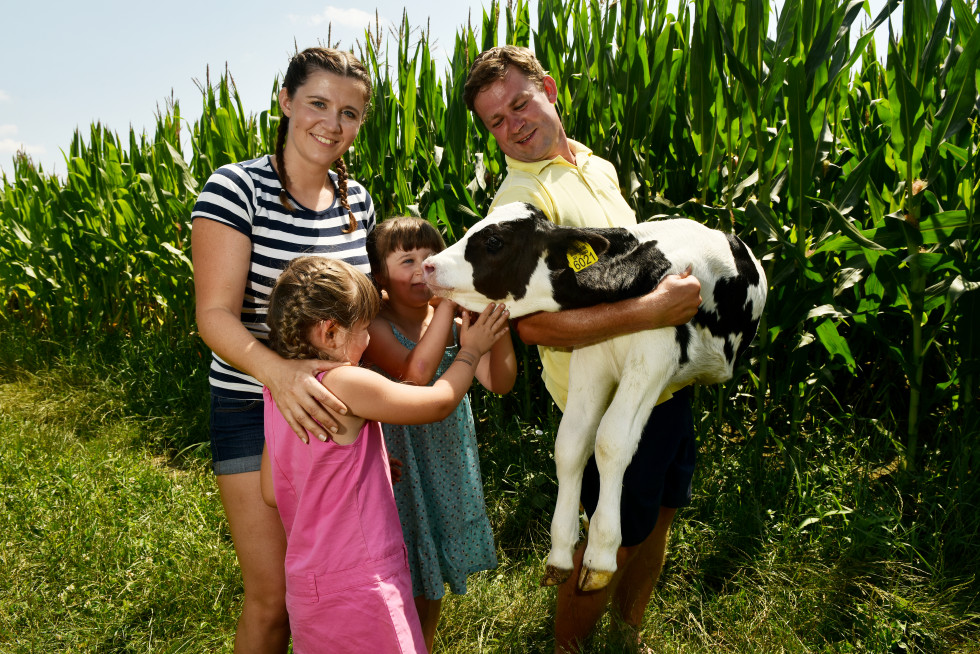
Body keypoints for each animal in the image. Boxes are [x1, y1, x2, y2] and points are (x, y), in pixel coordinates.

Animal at [422, 202, 764, 592]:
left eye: (495, 241)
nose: (428, 265)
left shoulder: (655, 355)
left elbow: (611, 441)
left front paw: (600, 552)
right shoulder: (591, 357)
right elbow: (571, 445)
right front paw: (560, 551)